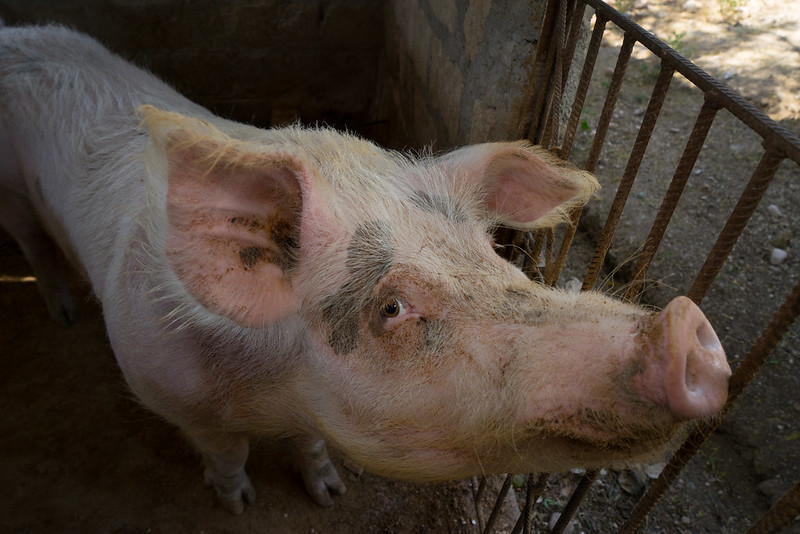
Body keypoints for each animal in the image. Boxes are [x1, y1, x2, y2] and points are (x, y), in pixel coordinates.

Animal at [0, 25, 731, 515]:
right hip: (13, 196)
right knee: (30, 239)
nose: (683, 328)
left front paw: (327, 493)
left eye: (491, 252)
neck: (271, 389)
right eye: (391, 308)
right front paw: (237, 504)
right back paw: (63, 312)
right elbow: (227, 454)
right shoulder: (168, 393)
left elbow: (311, 444)